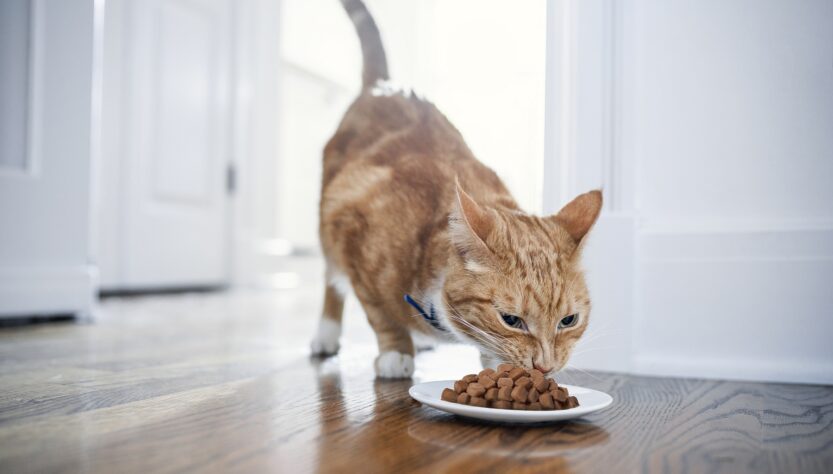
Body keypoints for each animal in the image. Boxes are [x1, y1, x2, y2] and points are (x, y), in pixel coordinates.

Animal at [308, 0, 600, 378]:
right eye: (511, 320)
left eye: (569, 320)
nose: (545, 368)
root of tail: (384, 84)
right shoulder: (350, 226)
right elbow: (380, 314)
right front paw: (396, 351)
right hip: (327, 224)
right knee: (332, 282)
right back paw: (328, 334)